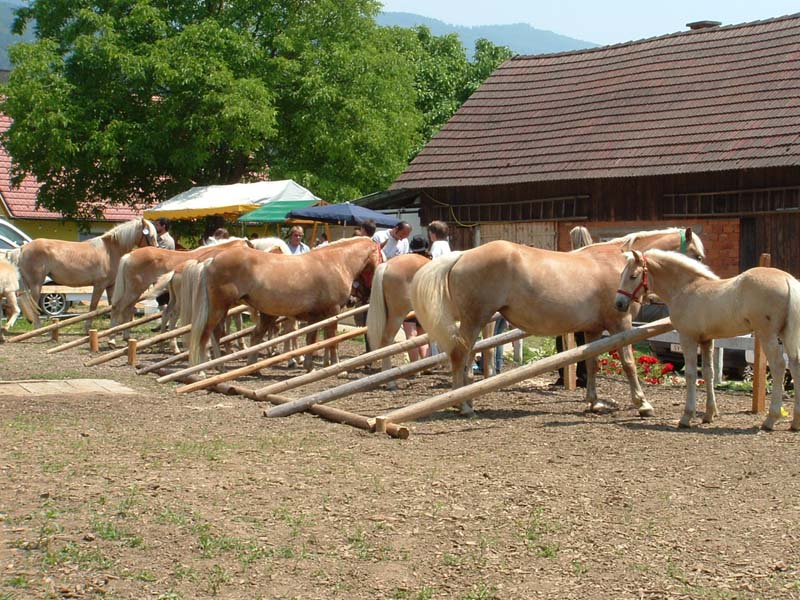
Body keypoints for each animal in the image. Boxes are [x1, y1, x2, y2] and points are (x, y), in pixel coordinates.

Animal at [15, 217, 158, 333]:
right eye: (150, 235)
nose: (156, 250)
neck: (110, 251)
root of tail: (23, 248)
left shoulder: (110, 286)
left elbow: (113, 304)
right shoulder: (99, 285)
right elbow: (93, 307)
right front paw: (87, 328)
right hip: (36, 285)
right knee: (33, 306)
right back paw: (38, 329)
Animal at [189, 237, 381, 369]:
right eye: (380, 256)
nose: (366, 292)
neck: (335, 262)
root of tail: (210, 261)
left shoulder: (315, 316)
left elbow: (312, 340)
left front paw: (309, 366)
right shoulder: (332, 312)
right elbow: (332, 341)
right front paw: (336, 366)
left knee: (220, 334)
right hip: (220, 308)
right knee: (207, 334)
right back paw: (203, 369)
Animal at [411, 228, 706, 416]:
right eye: (698, 256)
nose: (703, 277)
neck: (619, 265)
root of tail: (461, 255)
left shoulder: (592, 329)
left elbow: (592, 364)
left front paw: (594, 402)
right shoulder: (620, 324)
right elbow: (629, 364)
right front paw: (642, 404)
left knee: (467, 356)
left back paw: (465, 401)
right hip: (475, 319)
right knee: (460, 355)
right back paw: (463, 405)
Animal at [614, 249, 800, 430]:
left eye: (633, 275)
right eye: (622, 274)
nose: (619, 304)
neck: (684, 289)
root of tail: (787, 279)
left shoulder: (687, 338)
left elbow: (690, 374)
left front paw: (687, 416)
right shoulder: (706, 340)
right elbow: (708, 373)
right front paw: (709, 415)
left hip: (767, 334)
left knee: (778, 366)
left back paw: (770, 420)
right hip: (785, 334)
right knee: (794, 364)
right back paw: (795, 422)